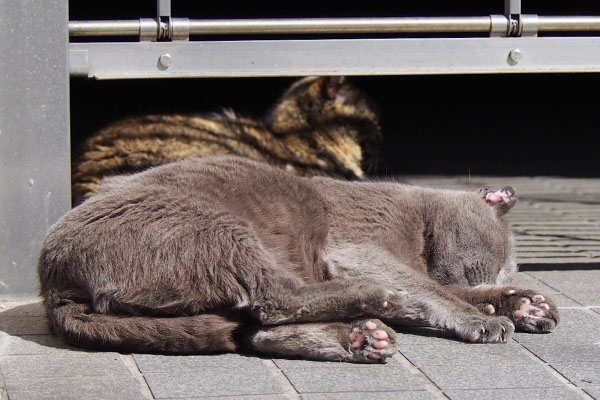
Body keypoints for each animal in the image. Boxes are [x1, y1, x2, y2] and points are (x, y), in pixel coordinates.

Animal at [39, 155, 560, 362]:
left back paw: (361, 336)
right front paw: (488, 315)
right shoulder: (356, 246)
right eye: (491, 259)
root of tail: (54, 284)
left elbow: (437, 290)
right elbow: (431, 289)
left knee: (258, 330)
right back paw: (372, 303)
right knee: (273, 300)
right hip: (214, 226)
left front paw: (522, 302)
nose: (495, 280)